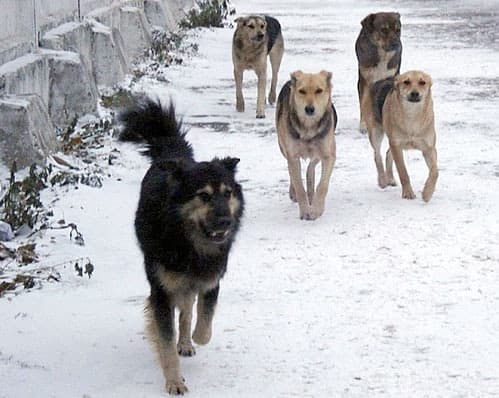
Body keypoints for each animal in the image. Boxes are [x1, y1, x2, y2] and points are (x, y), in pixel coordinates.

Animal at [121, 97, 246, 394]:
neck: (190, 244)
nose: (225, 221)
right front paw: (174, 381)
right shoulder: (162, 291)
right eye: (204, 196)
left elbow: (204, 322)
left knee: (188, 309)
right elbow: (165, 340)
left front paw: (194, 339)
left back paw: (187, 342)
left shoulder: (211, 280)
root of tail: (174, 155)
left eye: (228, 193)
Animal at [278, 71, 340, 221]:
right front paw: (305, 211)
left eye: (319, 91)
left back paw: (311, 192)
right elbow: (299, 185)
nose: (309, 109)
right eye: (302, 91)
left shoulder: (329, 155)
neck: (309, 127)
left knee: (311, 167)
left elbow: (322, 185)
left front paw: (317, 210)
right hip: (282, 147)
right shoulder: (292, 155)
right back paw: (294, 192)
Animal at [370, 69, 440, 201]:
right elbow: (403, 172)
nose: (414, 93)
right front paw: (408, 193)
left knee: (388, 153)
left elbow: (435, 171)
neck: (412, 116)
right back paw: (382, 180)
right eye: (406, 82)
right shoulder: (397, 145)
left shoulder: (429, 148)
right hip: (376, 132)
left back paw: (390, 178)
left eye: (422, 82)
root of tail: (384, 79)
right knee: (377, 155)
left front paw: (427, 193)